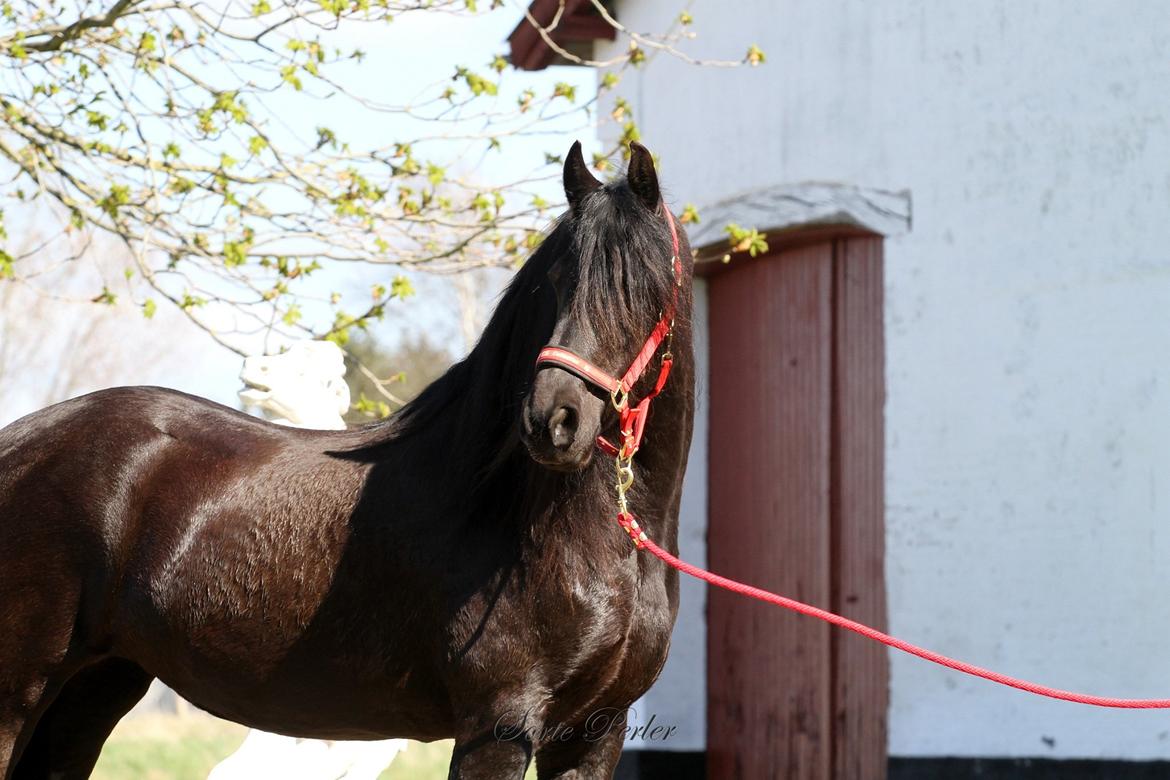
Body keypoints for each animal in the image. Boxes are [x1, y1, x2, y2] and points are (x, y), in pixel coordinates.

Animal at [0, 142, 687, 780]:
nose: (552, 421)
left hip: (93, 687)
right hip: (21, 692)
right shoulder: (498, 725)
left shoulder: (594, 734)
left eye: (644, 287)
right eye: (555, 282)